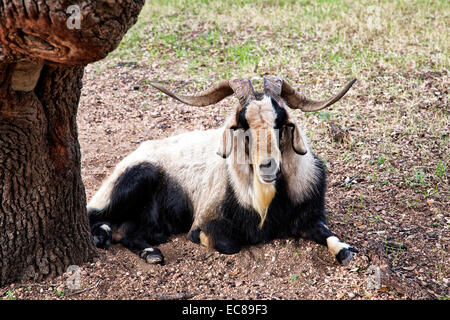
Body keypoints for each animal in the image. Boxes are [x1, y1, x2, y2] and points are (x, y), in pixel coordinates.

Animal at [88, 75, 358, 264]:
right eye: (243, 124)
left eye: (280, 121)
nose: (267, 166)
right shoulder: (205, 223)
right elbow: (229, 244)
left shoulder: (311, 214)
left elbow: (335, 242)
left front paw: (345, 250)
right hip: (139, 176)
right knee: (96, 217)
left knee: (126, 233)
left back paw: (151, 252)